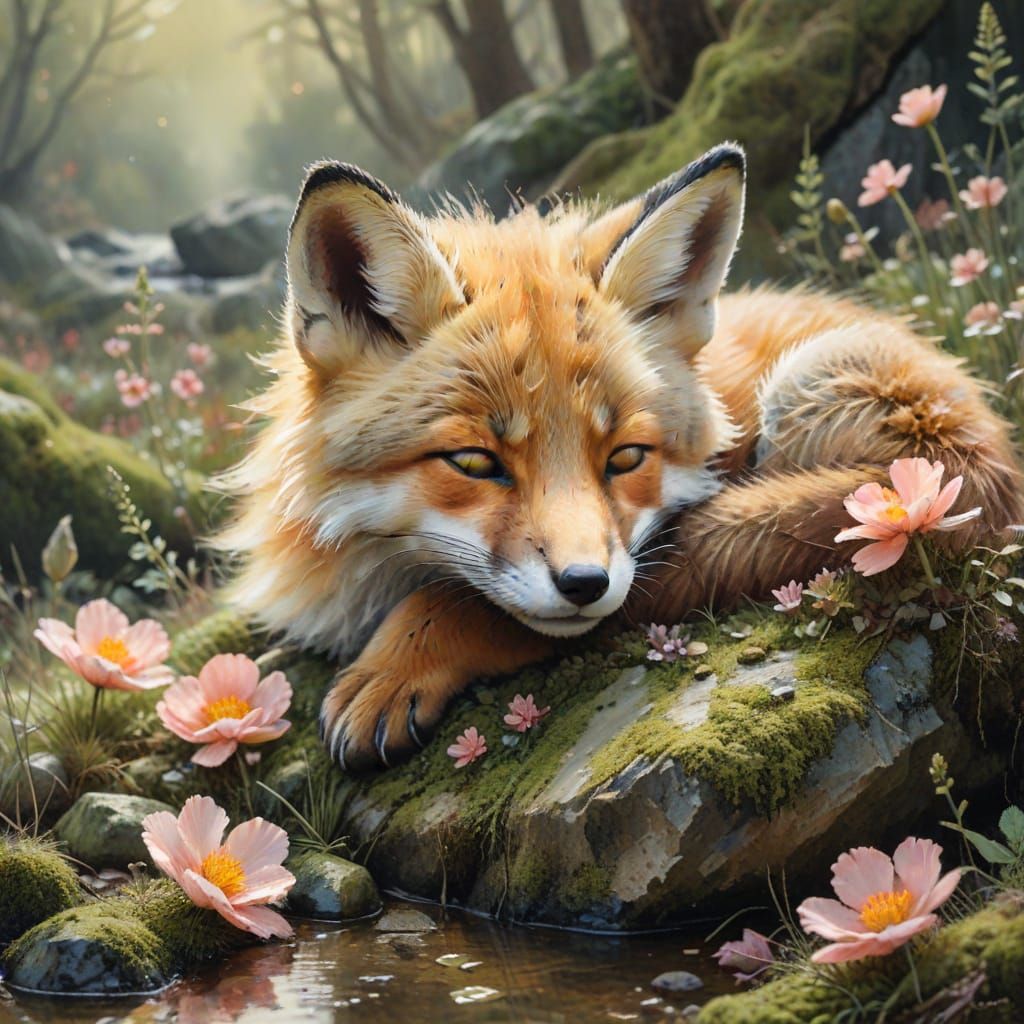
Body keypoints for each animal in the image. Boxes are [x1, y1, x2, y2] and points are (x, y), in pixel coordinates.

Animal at [216, 143, 1022, 772]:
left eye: (627, 456)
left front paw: (402, 657)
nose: (586, 584)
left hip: (813, 387)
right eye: (474, 462)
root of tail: (993, 469)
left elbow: (457, 598)